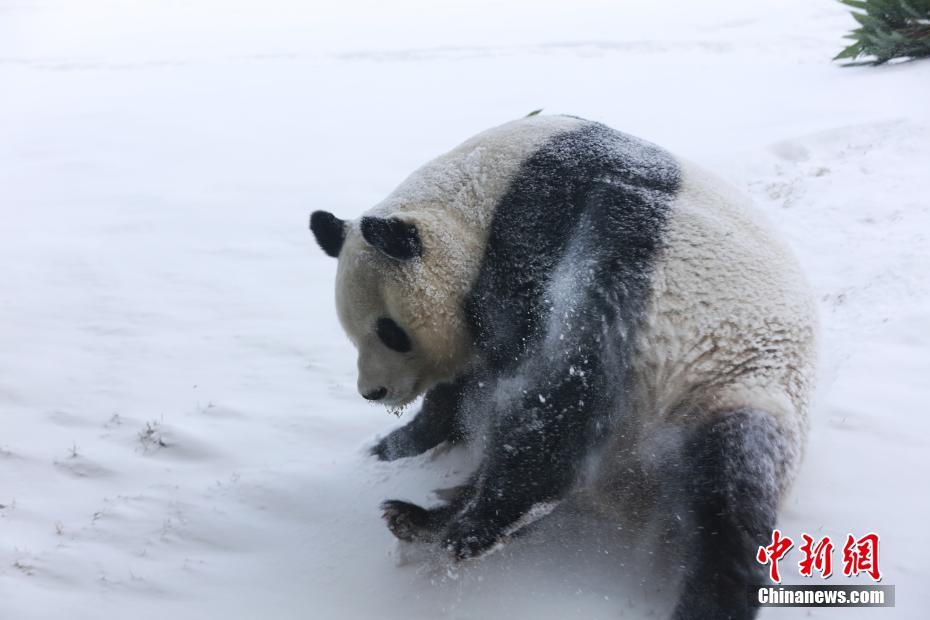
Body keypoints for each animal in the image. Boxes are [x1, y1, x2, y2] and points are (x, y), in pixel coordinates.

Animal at [306, 114, 812, 616]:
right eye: (352, 332)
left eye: (390, 331)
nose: (374, 391)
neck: (483, 196)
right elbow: (467, 386)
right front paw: (390, 446)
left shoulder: (552, 229)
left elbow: (561, 376)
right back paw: (421, 519)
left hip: (735, 381)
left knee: (729, 491)